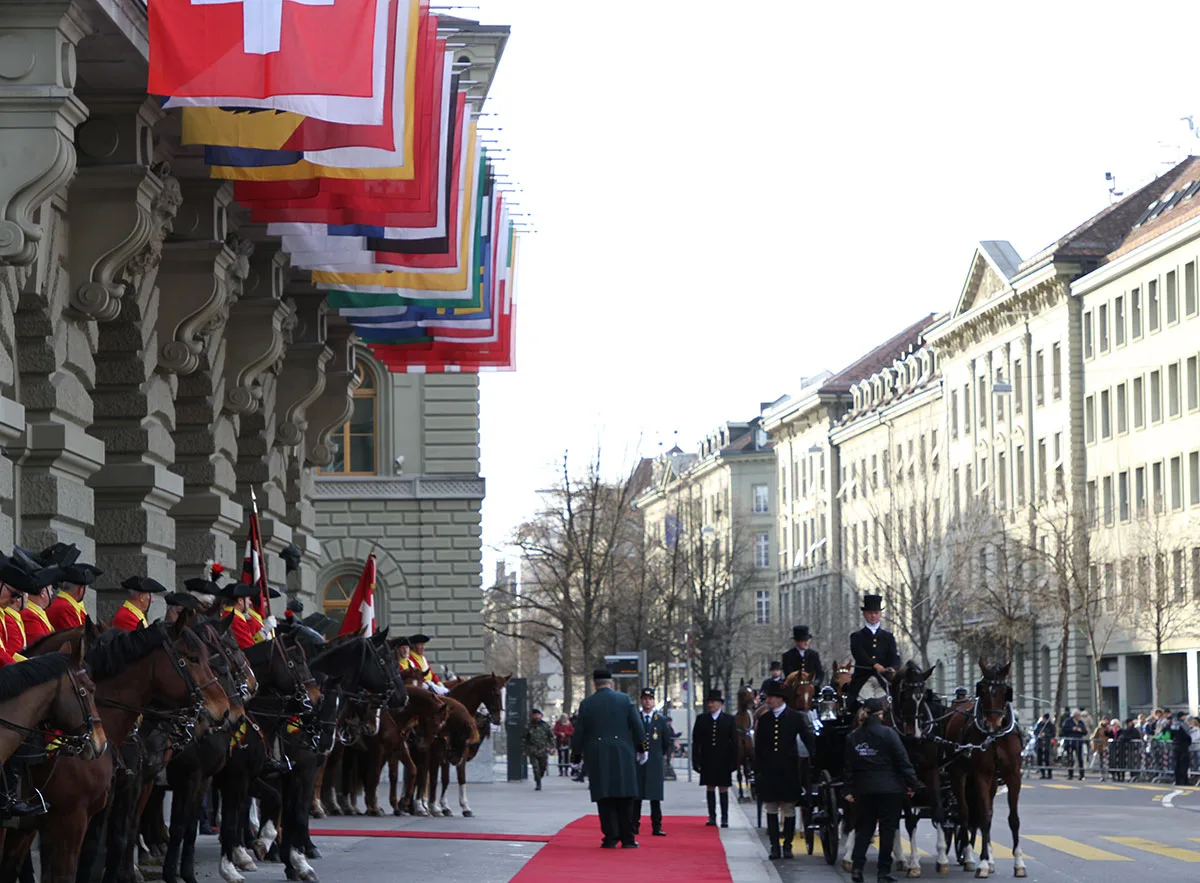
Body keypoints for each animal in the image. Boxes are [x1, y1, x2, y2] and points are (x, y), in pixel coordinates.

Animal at [940, 657, 1027, 878]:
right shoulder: (981, 775)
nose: (992, 724)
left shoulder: (1013, 776)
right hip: (959, 774)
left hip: (994, 782)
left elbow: (1013, 819)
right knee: (964, 813)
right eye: (983, 690)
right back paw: (970, 857)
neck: (995, 738)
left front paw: (1018, 863)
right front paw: (982, 863)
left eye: (1006, 691)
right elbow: (984, 817)